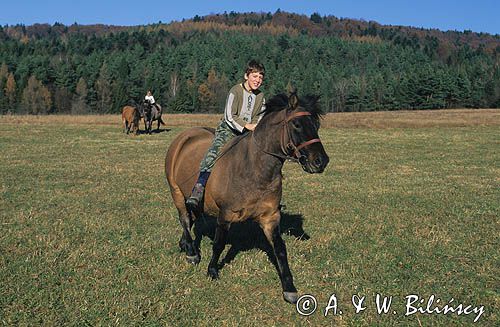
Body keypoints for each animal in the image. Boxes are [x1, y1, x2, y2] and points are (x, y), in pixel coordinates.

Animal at [163, 91, 328, 304]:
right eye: (297, 124)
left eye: (316, 125)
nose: (321, 161)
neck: (255, 168)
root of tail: (183, 137)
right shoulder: (225, 215)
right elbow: (218, 244)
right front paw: (212, 270)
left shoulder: (270, 217)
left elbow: (280, 249)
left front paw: (289, 288)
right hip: (175, 191)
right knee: (184, 219)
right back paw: (192, 253)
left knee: (190, 219)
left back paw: (184, 244)